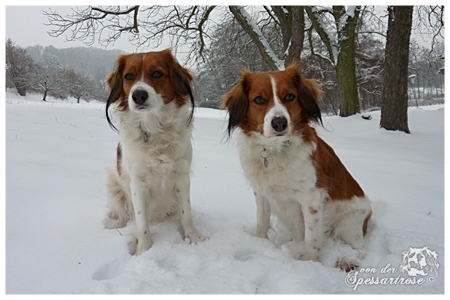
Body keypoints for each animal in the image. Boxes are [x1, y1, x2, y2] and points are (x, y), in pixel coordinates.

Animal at [104, 49, 205, 255]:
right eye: (129, 76)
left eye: (157, 73)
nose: (138, 95)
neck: (154, 126)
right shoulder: (138, 183)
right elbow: (142, 223)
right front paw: (143, 251)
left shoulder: (182, 176)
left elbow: (186, 213)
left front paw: (194, 238)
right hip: (113, 184)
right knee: (123, 215)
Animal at [222, 65, 372, 270]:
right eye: (259, 99)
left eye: (289, 96)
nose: (279, 123)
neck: (275, 150)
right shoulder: (261, 192)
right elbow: (262, 221)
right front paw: (259, 242)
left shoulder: (311, 198)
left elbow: (312, 238)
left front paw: (308, 262)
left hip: (348, 223)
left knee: (361, 249)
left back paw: (347, 260)